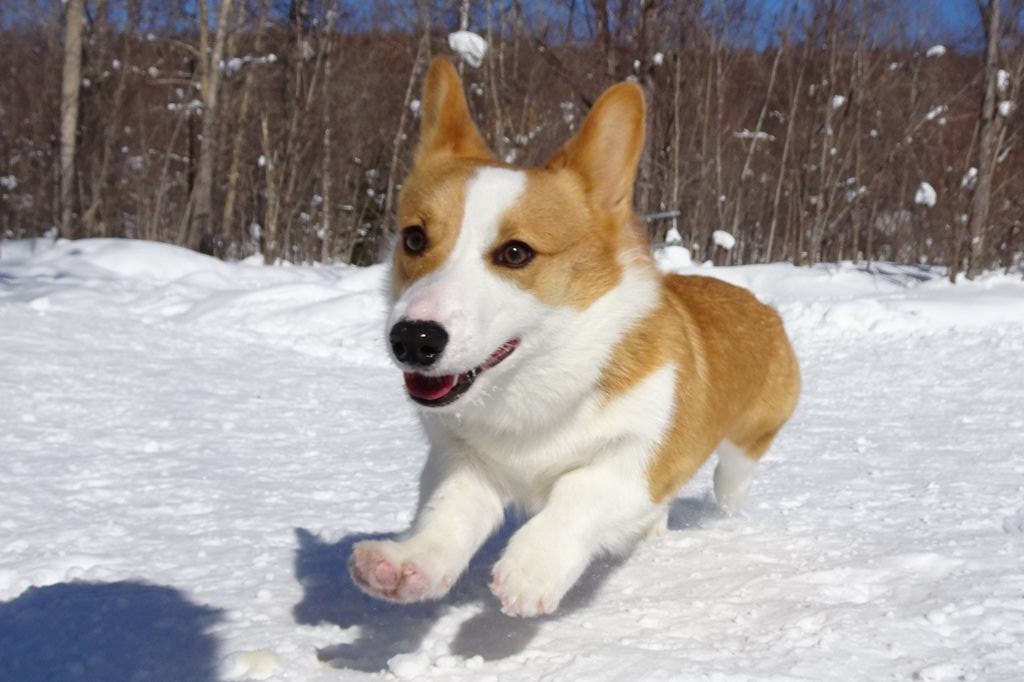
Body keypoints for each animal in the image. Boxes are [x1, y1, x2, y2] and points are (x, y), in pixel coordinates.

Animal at [348, 58, 800, 617]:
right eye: (414, 238)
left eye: (516, 253)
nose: (413, 339)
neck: (535, 385)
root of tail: (763, 307)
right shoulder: (465, 462)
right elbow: (446, 515)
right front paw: (406, 566)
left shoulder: (641, 460)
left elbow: (579, 491)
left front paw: (532, 569)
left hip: (746, 446)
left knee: (728, 482)